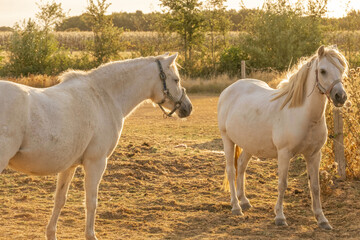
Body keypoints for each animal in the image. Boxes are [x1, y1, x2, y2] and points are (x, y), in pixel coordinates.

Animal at [0, 53, 191, 239]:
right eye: (176, 80)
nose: (188, 108)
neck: (104, 97)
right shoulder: (96, 163)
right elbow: (91, 202)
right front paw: (91, 235)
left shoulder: (69, 166)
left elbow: (60, 199)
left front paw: (51, 233)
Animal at [218, 46, 348, 230]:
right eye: (323, 71)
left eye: (342, 70)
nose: (340, 97)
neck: (303, 115)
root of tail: (228, 90)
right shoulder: (284, 154)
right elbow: (282, 184)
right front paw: (280, 217)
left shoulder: (314, 154)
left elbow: (315, 186)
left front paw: (322, 219)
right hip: (227, 140)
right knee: (231, 170)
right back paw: (236, 207)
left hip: (250, 144)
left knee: (241, 166)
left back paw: (244, 201)